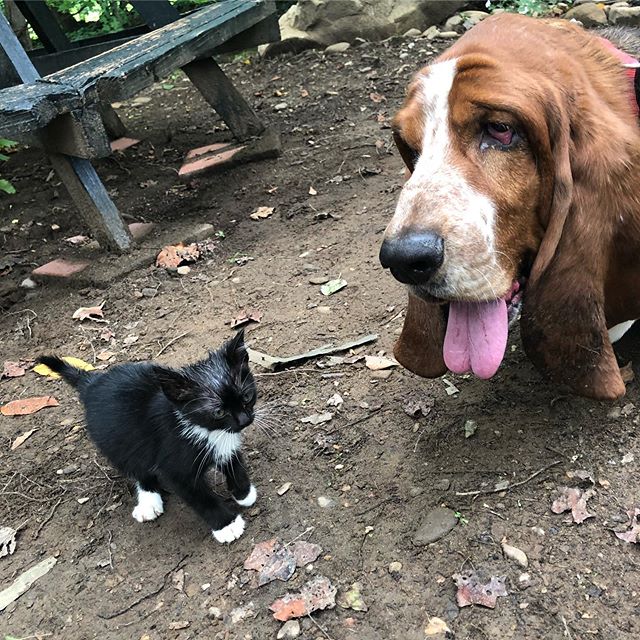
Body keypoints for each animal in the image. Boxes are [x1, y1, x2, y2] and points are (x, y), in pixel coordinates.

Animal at [37, 330, 256, 544]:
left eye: (246, 397)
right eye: (219, 412)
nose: (245, 420)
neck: (208, 430)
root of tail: (92, 384)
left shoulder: (224, 441)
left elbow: (233, 461)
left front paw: (243, 493)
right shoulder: (174, 467)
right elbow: (200, 498)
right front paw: (227, 525)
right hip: (116, 441)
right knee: (137, 467)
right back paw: (149, 500)